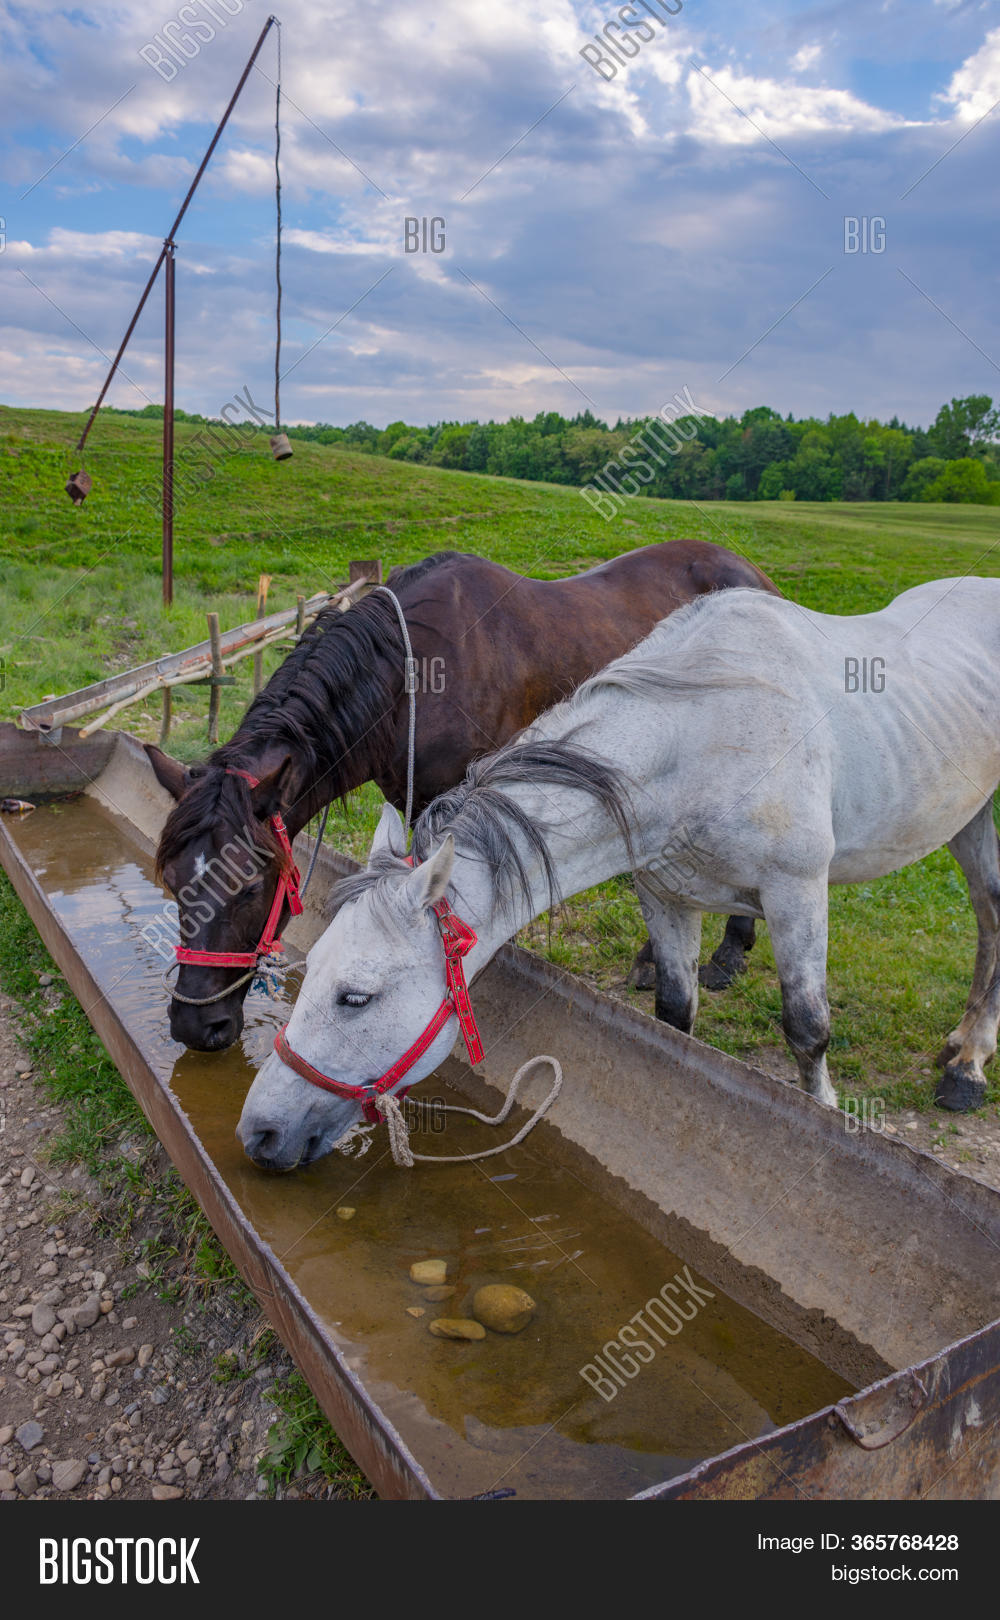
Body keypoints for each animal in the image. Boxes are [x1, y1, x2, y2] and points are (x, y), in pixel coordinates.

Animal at [148, 542, 779, 1051]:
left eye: (251, 887)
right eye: (174, 882)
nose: (196, 1028)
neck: (410, 679)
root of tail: (753, 575)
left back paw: (727, 954)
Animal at [237, 575, 1000, 1171]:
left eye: (355, 997)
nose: (259, 1131)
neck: (702, 736)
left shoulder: (797, 893)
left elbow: (808, 1029)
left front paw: (828, 1120)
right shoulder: (665, 897)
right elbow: (674, 1019)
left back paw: (968, 1067)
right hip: (968, 819)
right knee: (989, 914)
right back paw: (962, 1050)